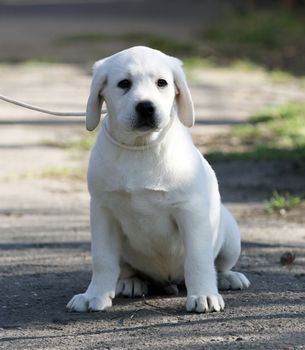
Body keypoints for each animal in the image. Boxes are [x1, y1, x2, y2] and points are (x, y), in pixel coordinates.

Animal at [66, 47, 247, 314]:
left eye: (162, 83)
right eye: (124, 84)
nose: (146, 107)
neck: (141, 147)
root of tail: (167, 281)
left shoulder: (190, 211)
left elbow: (198, 259)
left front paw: (204, 295)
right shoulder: (103, 211)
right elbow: (102, 259)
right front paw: (94, 295)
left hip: (231, 237)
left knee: (218, 264)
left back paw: (228, 278)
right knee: (126, 269)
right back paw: (130, 282)